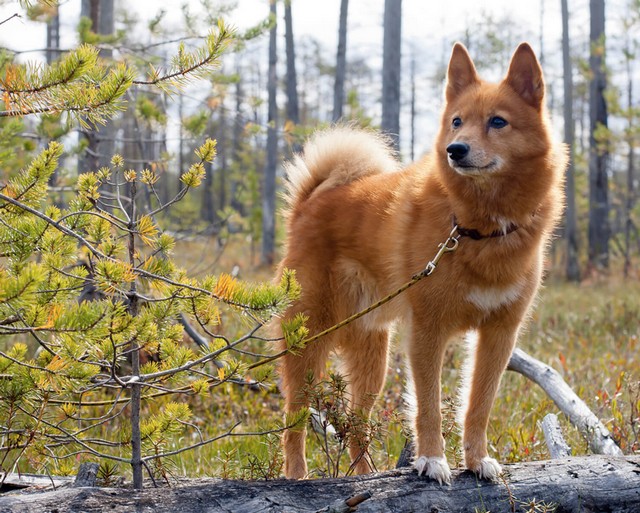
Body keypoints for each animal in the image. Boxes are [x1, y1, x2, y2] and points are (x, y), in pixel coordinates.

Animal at [276, 42, 564, 482]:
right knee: (293, 418)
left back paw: (365, 476)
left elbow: (478, 406)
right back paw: (296, 475)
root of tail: (310, 203)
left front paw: (477, 460)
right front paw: (431, 459)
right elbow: (428, 405)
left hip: (372, 358)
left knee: (358, 425)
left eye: (498, 122)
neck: (475, 228)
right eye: (457, 121)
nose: (455, 149)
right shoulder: (428, 331)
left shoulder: (499, 335)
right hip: (310, 340)